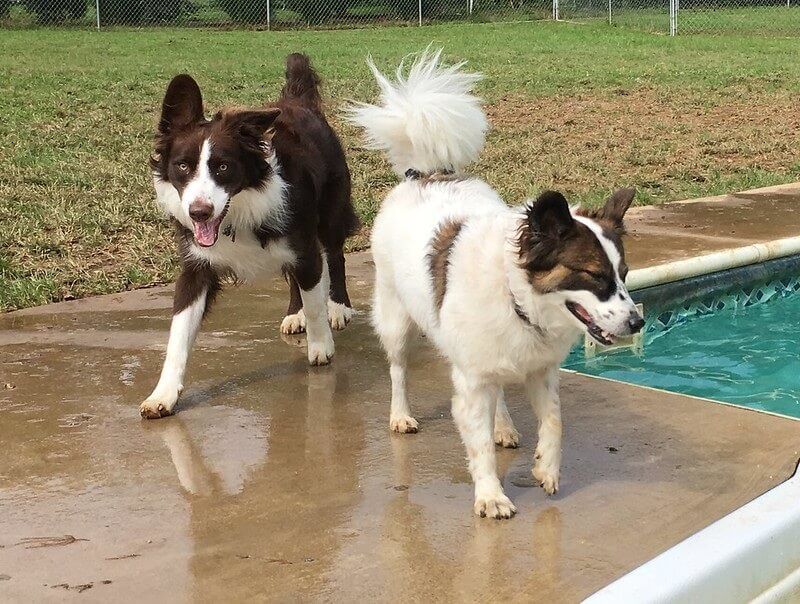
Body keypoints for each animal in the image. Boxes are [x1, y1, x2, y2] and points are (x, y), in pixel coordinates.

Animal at [141, 54, 360, 418]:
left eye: (223, 167)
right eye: (183, 166)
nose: (199, 212)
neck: (238, 209)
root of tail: (297, 101)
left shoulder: (302, 246)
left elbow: (315, 295)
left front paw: (321, 345)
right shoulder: (196, 266)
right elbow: (179, 332)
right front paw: (164, 393)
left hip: (331, 207)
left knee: (334, 254)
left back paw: (339, 306)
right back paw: (294, 313)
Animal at [350, 49, 644, 516]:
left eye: (624, 274)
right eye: (594, 275)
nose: (638, 323)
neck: (516, 296)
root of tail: (425, 174)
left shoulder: (539, 370)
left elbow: (554, 421)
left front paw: (545, 468)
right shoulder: (472, 379)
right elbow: (479, 444)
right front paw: (490, 495)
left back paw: (504, 425)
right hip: (397, 319)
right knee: (398, 368)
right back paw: (401, 414)